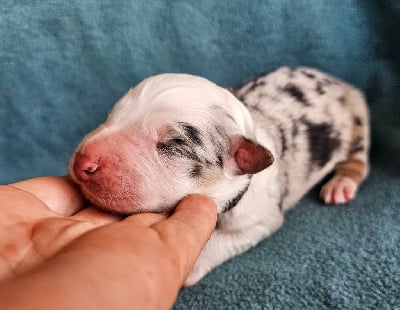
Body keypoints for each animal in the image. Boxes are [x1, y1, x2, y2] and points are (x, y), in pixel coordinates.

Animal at [68, 67, 368, 286]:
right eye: (111, 116)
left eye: (173, 145)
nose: (83, 161)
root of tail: (334, 79)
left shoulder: (260, 220)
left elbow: (222, 241)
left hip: (359, 118)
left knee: (358, 161)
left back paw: (340, 184)